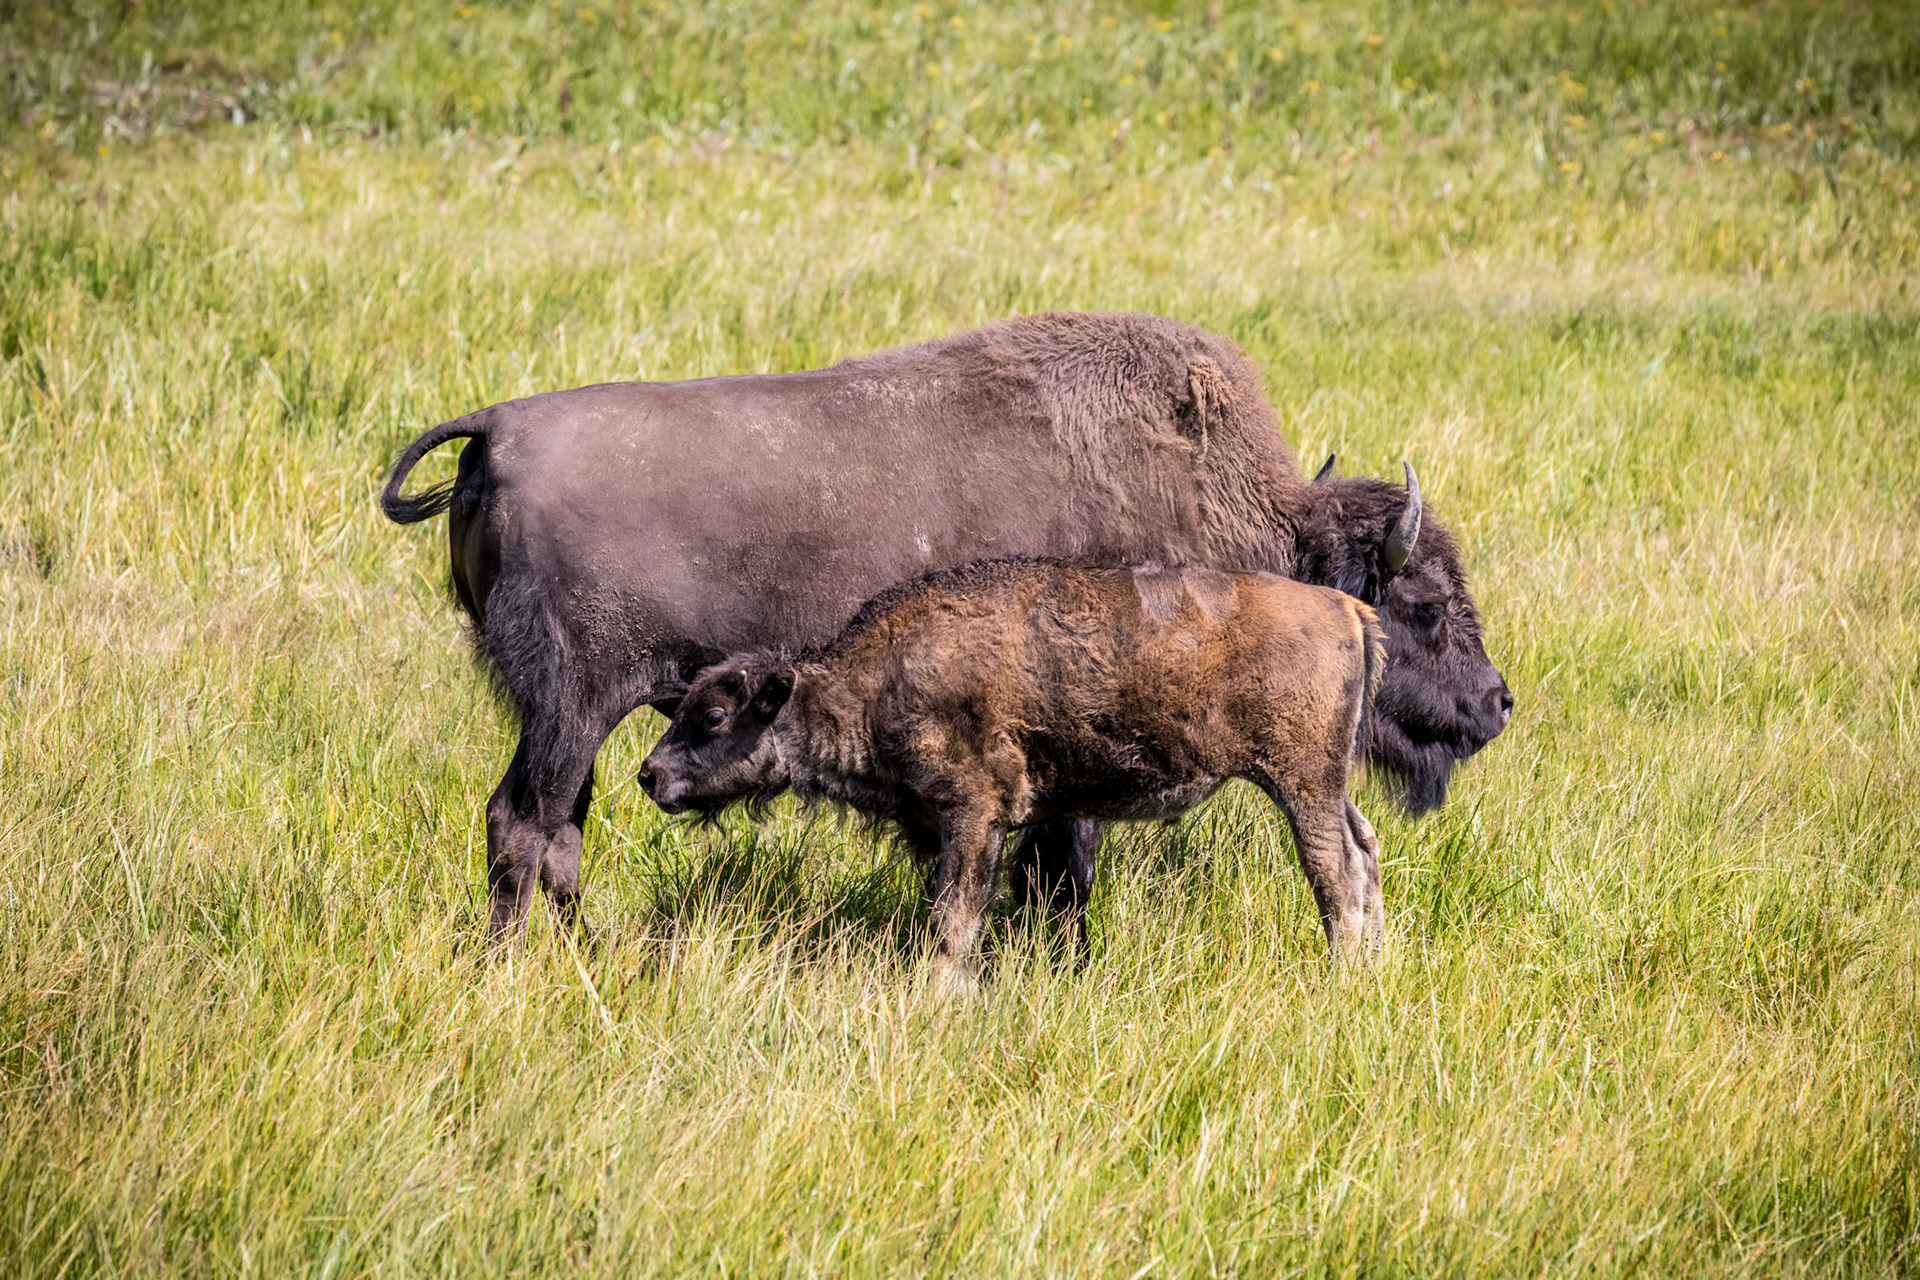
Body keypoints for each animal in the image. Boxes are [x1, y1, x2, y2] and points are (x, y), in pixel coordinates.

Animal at [380, 311, 1510, 942]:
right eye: (1423, 604)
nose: (1495, 704)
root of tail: (496, 430)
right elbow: (1062, 870)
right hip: (571, 708)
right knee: (527, 824)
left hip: (572, 718)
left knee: (560, 830)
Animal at [637, 558, 1388, 991]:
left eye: (712, 717)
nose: (649, 775)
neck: (877, 681)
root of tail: (1343, 606)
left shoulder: (975, 815)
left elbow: (954, 917)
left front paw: (942, 995)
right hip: (1329, 786)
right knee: (1366, 849)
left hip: (1301, 782)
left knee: (1335, 873)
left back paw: (1342, 978)